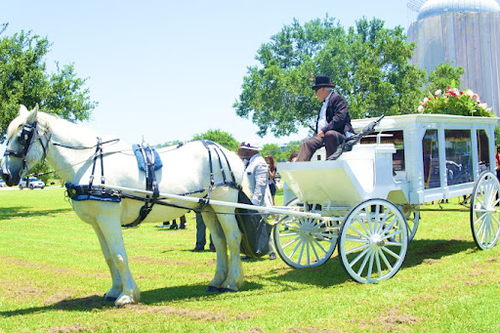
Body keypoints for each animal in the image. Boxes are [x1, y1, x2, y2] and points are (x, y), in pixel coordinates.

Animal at [0, 105, 246, 304]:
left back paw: (231, 282)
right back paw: (217, 281)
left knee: (233, 239)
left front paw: (127, 294)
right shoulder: (97, 223)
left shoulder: (108, 218)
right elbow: (109, 256)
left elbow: (119, 255)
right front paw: (113, 291)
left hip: (224, 205)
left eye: (22, 136)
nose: (5, 174)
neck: (88, 163)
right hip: (207, 208)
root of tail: (226, 152)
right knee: (220, 242)